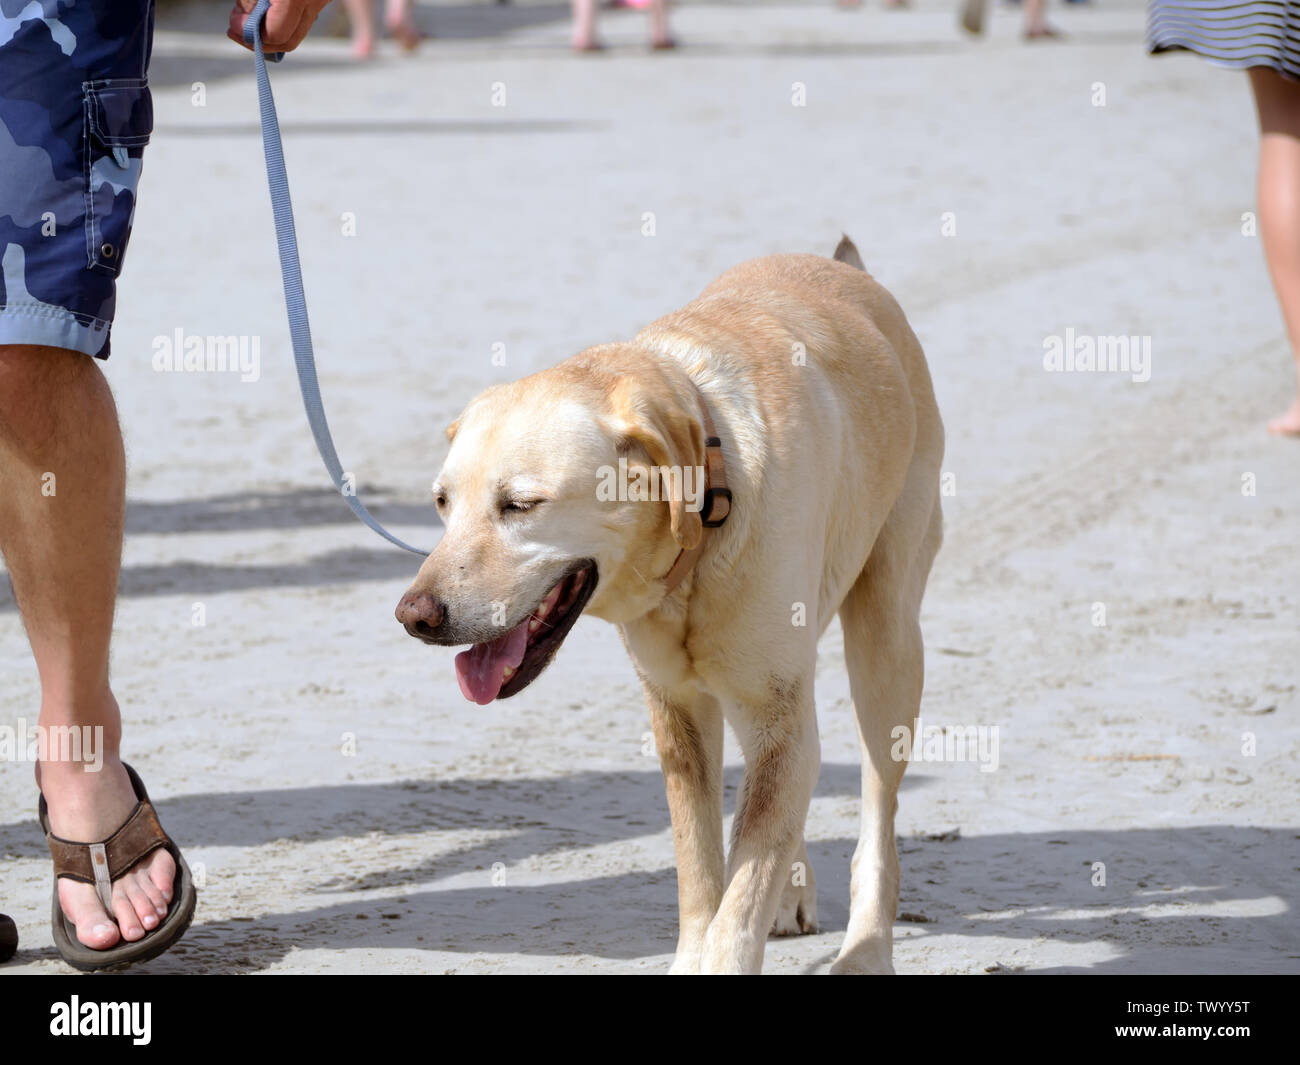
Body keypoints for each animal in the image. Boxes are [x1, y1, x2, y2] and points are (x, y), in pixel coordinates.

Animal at [395, 239, 946, 972]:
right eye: (441, 502)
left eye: (520, 504)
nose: (415, 615)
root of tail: (849, 271)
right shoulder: (681, 716)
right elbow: (705, 874)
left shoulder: (775, 704)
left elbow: (739, 902)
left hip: (885, 644)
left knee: (876, 815)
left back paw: (866, 949)